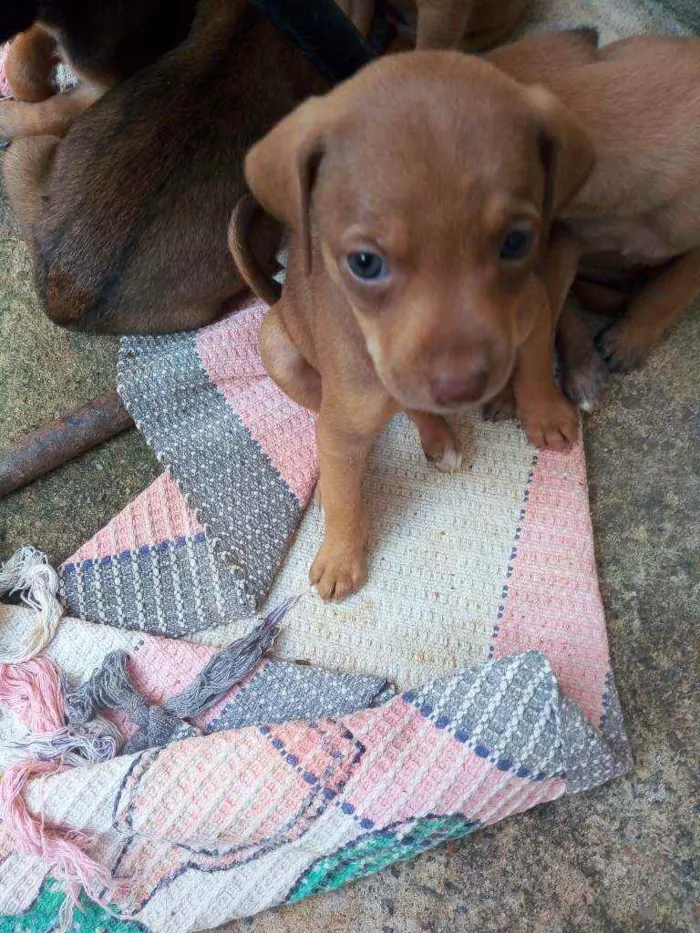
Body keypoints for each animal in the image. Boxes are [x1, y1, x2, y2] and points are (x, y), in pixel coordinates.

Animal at [232, 29, 600, 600]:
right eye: (364, 262)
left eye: (516, 241)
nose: (462, 387)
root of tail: (277, 298)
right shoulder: (340, 427)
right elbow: (342, 493)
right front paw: (339, 556)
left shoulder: (532, 307)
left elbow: (537, 362)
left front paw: (545, 413)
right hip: (278, 346)